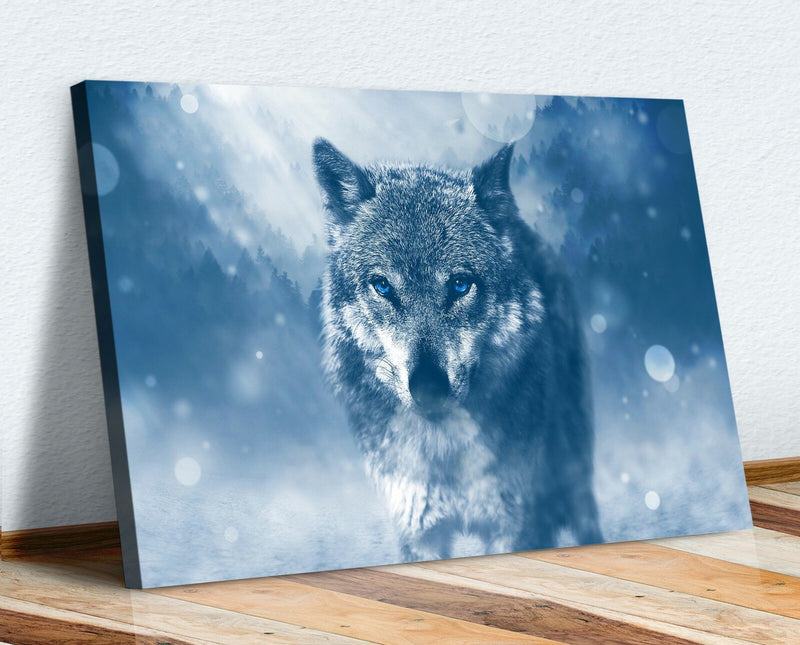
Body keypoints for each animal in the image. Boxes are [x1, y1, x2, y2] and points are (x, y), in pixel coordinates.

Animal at [313, 138, 602, 562]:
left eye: (460, 284)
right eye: (383, 286)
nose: (429, 387)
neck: (445, 450)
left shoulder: (514, 523)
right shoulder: (419, 532)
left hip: (573, 467)